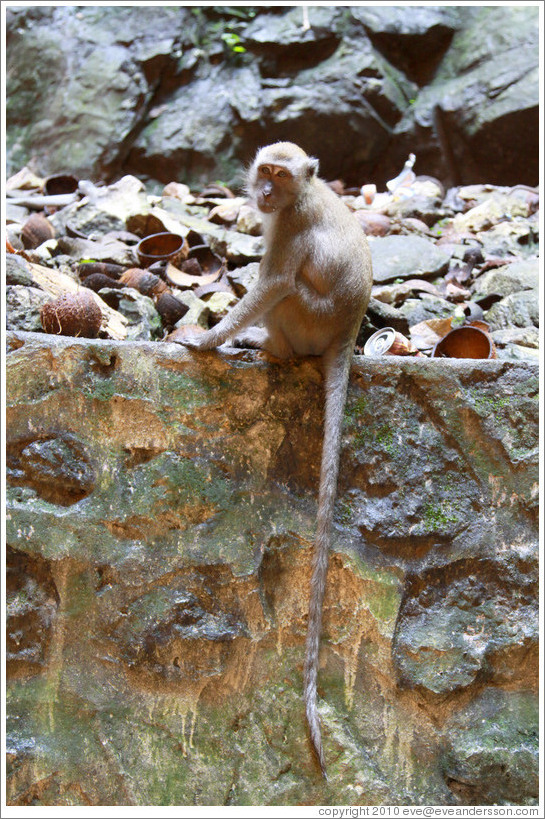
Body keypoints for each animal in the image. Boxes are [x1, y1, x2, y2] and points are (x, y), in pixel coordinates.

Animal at [176, 141, 372, 776]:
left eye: (278, 179)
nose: (262, 193)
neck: (299, 196)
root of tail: (348, 333)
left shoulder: (287, 231)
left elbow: (273, 283)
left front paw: (207, 339)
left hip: (308, 322)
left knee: (286, 294)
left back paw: (270, 350)